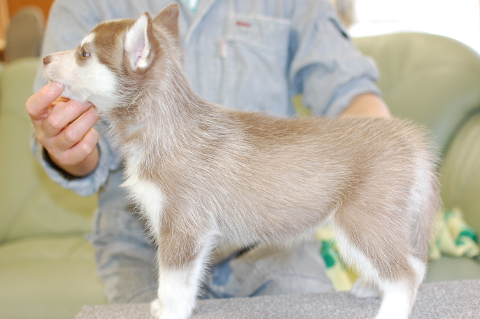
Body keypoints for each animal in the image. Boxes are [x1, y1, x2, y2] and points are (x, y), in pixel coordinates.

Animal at [43, 5, 440, 319]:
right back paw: (371, 288)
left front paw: (169, 311)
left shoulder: (183, 228)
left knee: (407, 272)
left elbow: (172, 282)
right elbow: (186, 284)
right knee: (410, 264)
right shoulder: (193, 235)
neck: (162, 125)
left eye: (84, 53)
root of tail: (409, 138)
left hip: (360, 220)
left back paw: (390, 309)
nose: (45, 59)